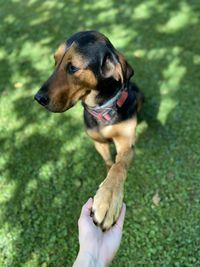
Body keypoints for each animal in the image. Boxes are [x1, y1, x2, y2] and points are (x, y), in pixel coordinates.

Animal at [34, 30, 144, 230]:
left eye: (72, 68)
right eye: (55, 60)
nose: (37, 98)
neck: (102, 110)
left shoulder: (126, 144)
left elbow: (119, 166)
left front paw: (108, 198)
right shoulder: (98, 142)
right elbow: (109, 162)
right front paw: (106, 175)